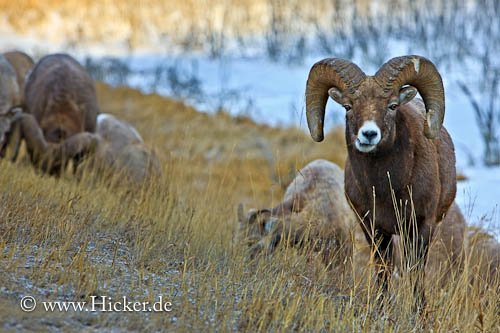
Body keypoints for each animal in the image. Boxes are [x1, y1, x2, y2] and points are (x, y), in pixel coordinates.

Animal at [304, 55, 458, 308]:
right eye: (348, 106)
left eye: (392, 106)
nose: (368, 134)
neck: (386, 189)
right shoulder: (373, 228)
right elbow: (383, 270)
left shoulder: (421, 226)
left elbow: (415, 272)